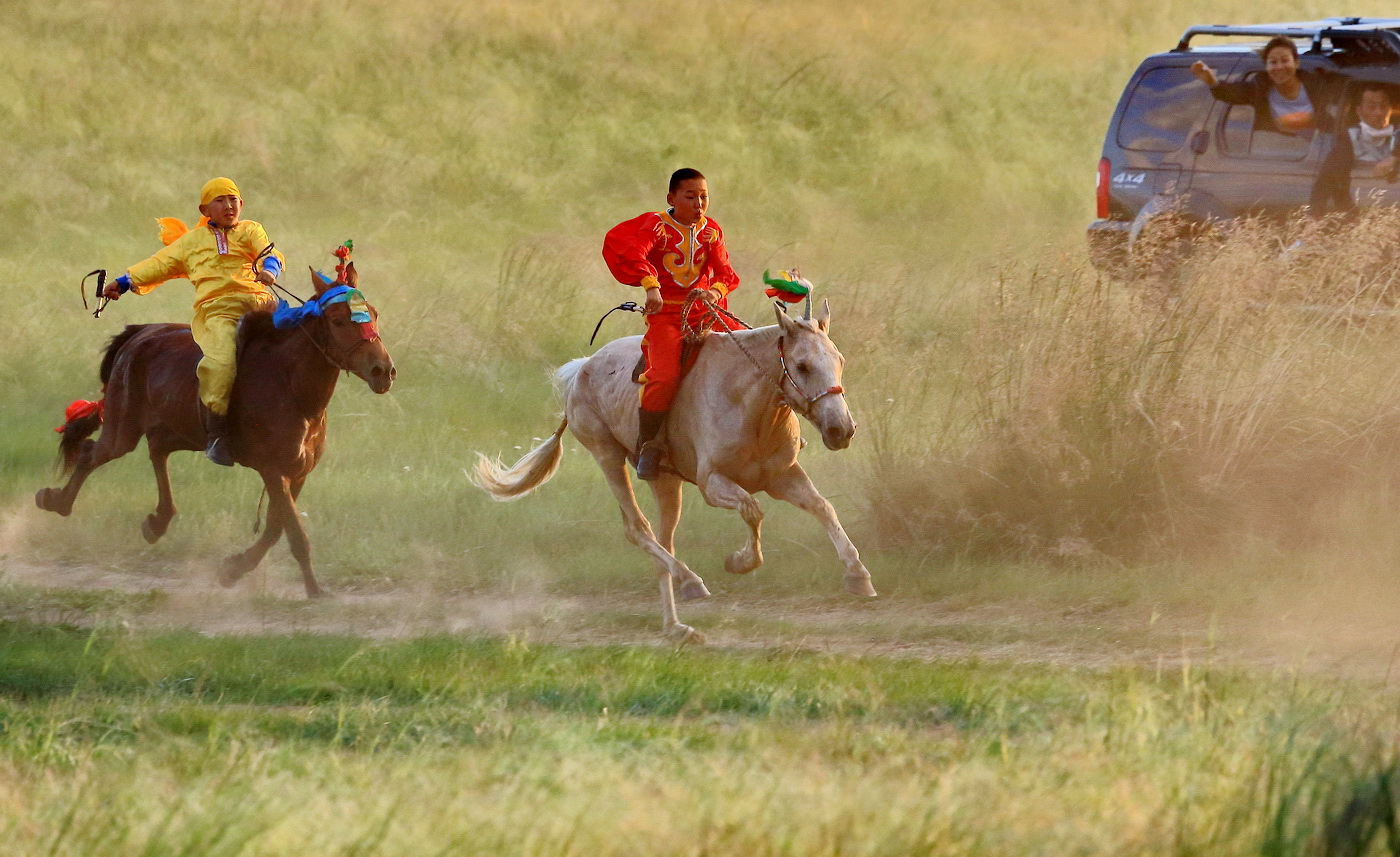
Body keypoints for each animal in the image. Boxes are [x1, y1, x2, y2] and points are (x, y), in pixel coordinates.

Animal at [35, 266, 394, 596]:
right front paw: (314, 588)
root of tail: (139, 334)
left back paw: (157, 521)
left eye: (374, 313)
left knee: (157, 449)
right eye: (337, 320)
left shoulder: (298, 471)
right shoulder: (272, 468)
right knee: (92, 453)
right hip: (123, 427)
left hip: (180, 430)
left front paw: (234, 568)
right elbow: (293, 531)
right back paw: (55, 500)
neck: (292, 387)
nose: (383, 371)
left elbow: (275, 527)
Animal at [476, 301, 879, 644]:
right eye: (803, 366)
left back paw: (676, 627)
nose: (842, 430)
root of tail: (582, 368)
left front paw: (858, 575)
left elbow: (823, 508)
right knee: (638, 530)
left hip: (665, 481)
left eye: (839, 360)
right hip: (607, 455)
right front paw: (740, 562)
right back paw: (690, 581)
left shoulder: (783, 477)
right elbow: (753, 510)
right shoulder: (712, 484)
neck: (748, 404)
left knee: (663, 542)